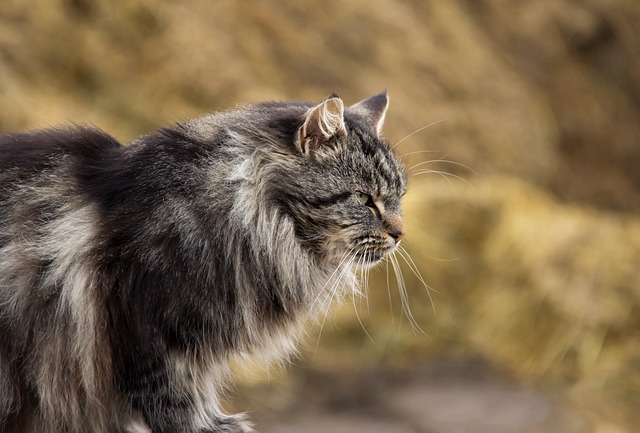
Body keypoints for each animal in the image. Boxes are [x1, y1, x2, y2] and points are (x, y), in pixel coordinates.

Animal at [0, 92, 408, 432]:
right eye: (364, 199)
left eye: (398, 198)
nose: (400, 233)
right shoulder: (144, 328)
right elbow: (174, 402)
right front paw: (211, 428)